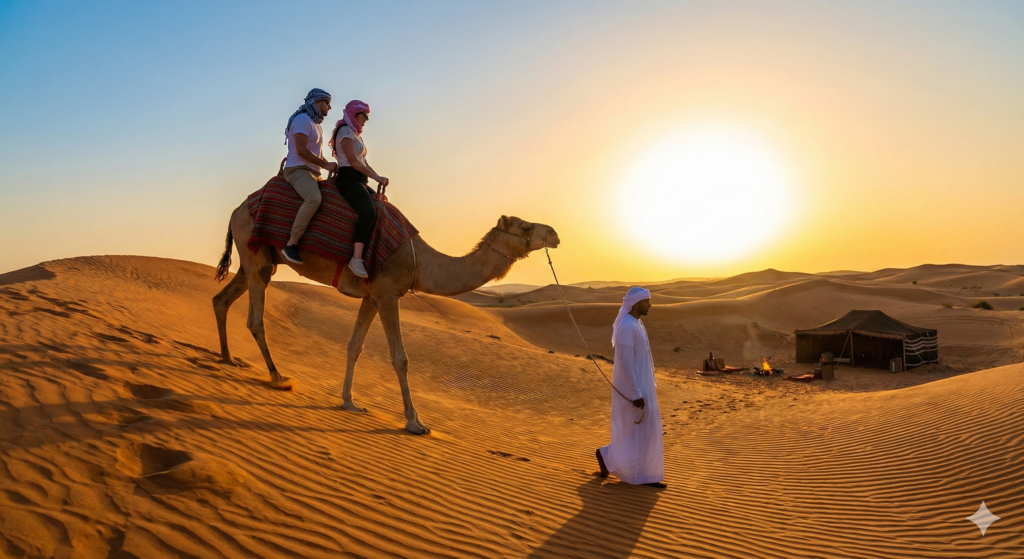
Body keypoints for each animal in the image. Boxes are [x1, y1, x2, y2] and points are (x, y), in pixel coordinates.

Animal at [212, 199, 559, 434]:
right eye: (525, 227)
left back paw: (228, 359)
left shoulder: (371, 296)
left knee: (221, 299)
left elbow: (354, 346)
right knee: (255, 318)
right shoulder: (389, 294)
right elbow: (400, 358)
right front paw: (415, 422)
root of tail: (235, 211)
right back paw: (279, 378)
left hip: (257, 257)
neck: (420, 261)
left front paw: (349, 402)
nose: (555, 233)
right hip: (255, 251)